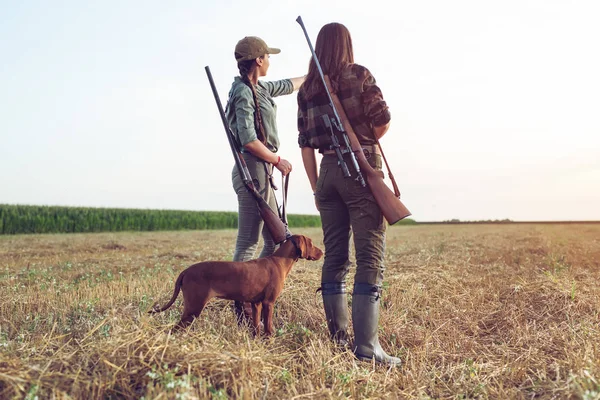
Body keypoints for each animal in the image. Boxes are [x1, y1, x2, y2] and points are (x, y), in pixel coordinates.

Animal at [148, 234, 322, 334]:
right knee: (175, 329)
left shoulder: (256, 303)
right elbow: (268, 327)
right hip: (194, 306)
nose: (322, 252)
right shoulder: (269, 302)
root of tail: (185, 271)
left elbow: (256, 326)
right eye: (311, 243)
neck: (279, 261)